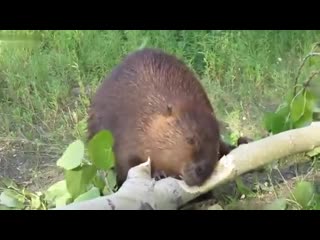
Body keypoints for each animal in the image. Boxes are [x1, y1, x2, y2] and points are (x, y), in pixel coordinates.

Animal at [87, 47, 250, 188]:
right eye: (190, 139)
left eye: (215, 147)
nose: (201, 171)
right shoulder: (126, 131)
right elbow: (126, 164)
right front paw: (158, 174)